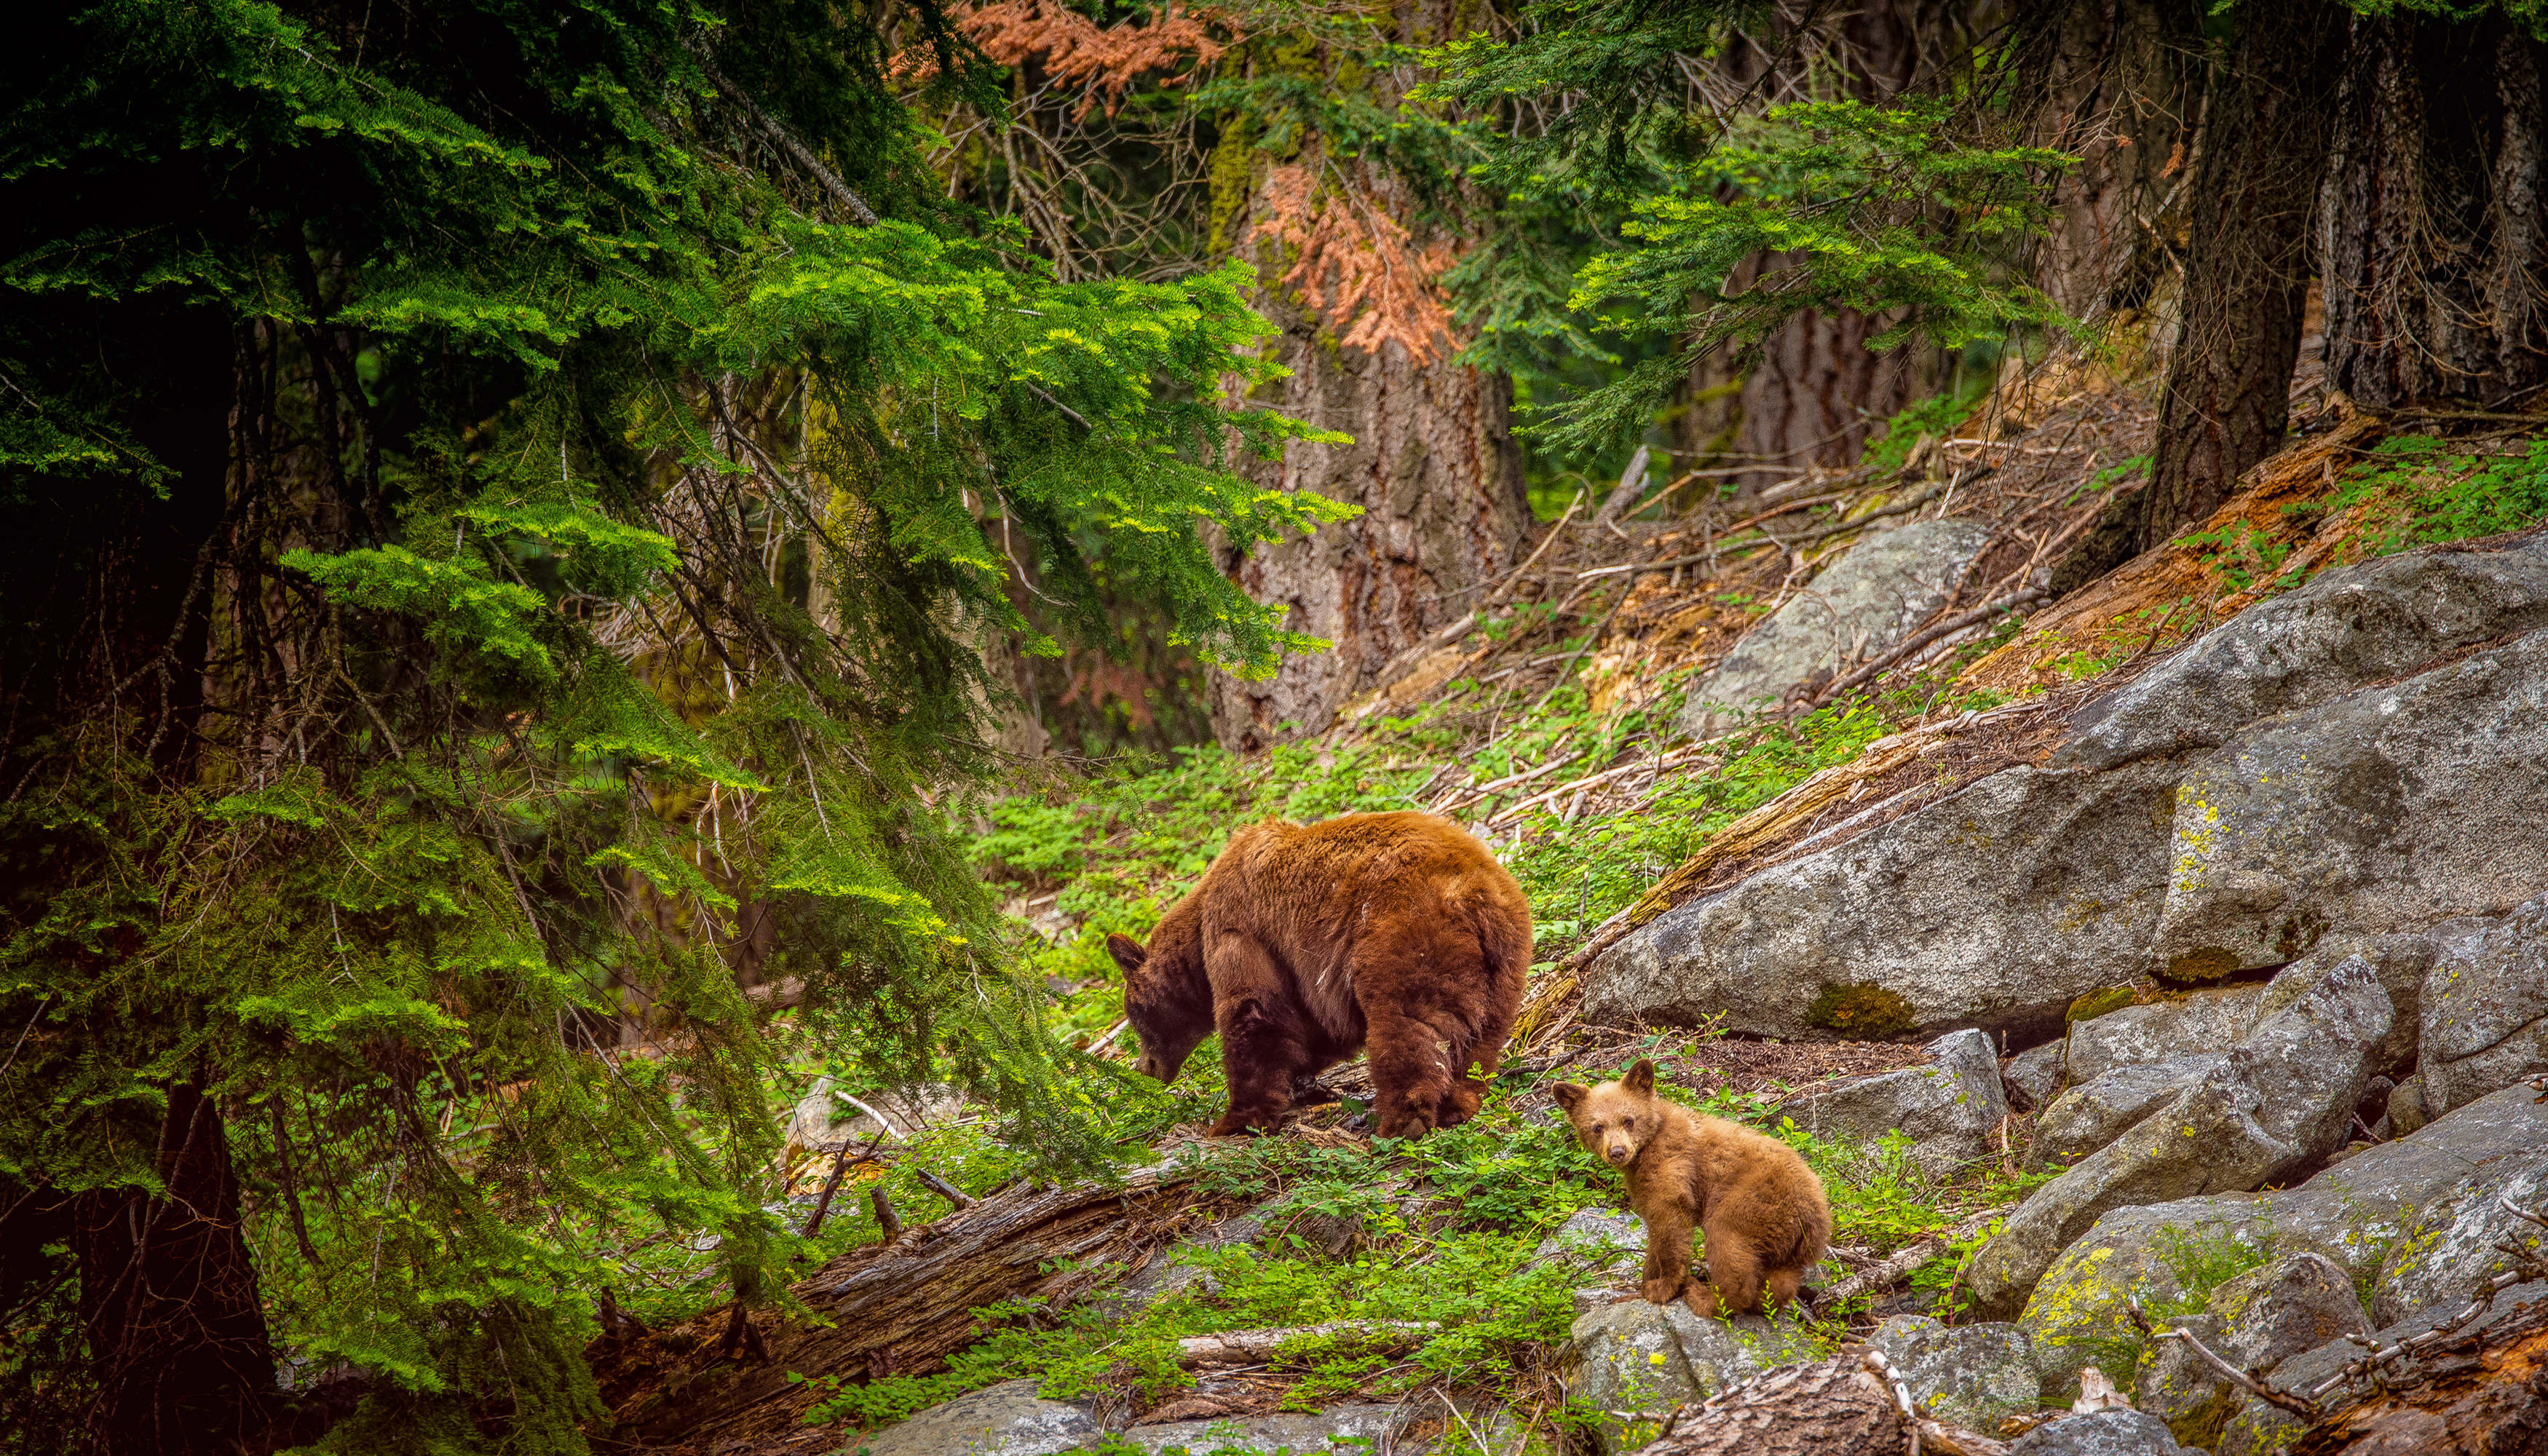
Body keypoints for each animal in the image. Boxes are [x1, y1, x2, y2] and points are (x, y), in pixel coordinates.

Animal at [1101, 810, 1529, 1137]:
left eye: (1133, 1017)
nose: (1144, 1068)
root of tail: (1474, 892)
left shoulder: (1241, 932)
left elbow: (1253, 1012)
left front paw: (1234, 1121)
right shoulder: (1304, 974)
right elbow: (1312, 1028)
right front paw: (1304, 1086)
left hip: (1403, 934)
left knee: (1404, 1023)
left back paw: (1400, 1121)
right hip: (1505, 962)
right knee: (1481, 1038)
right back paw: (1459, 1103)